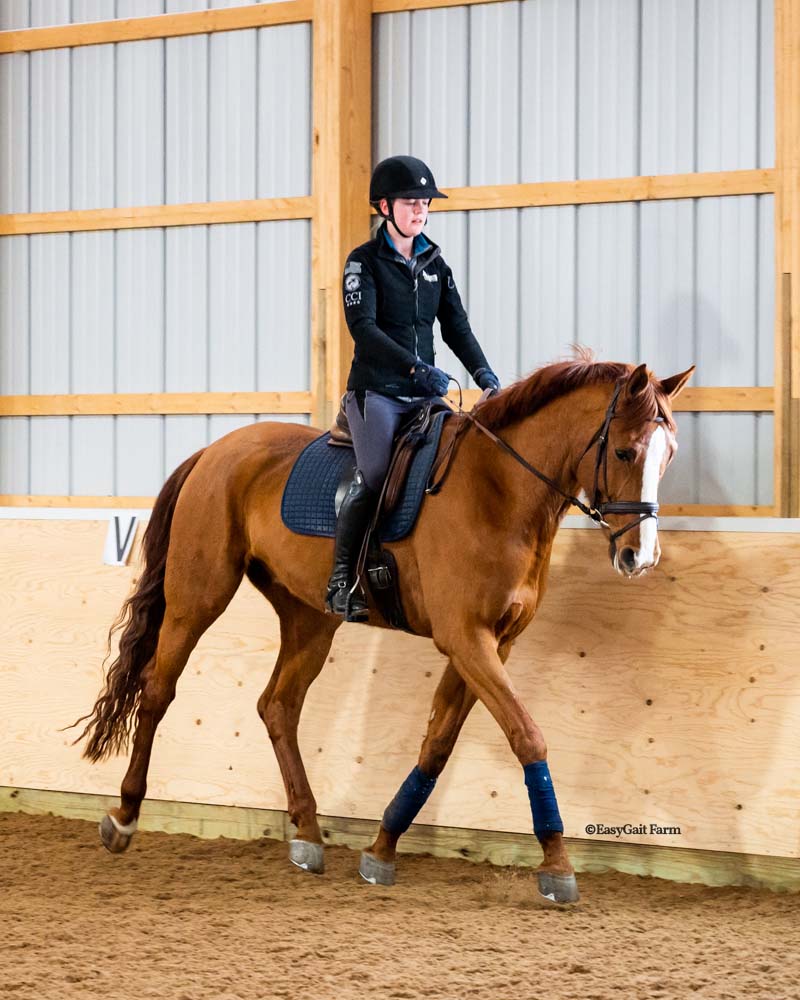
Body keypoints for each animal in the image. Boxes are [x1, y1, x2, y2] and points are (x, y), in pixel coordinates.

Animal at [75, 360, 692, 908]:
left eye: (669, 456)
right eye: (625, 452)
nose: (640, 558)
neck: (500, 489)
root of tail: (214, 450)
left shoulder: (493, 643)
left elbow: (438, 743)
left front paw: (382, 846)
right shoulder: (466, 639)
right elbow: (527, 736)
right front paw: (558, 866)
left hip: (310, 618)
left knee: (278, 706)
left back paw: (307, 834)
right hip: (197, 597)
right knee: (158, 691)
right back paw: (124, 818)